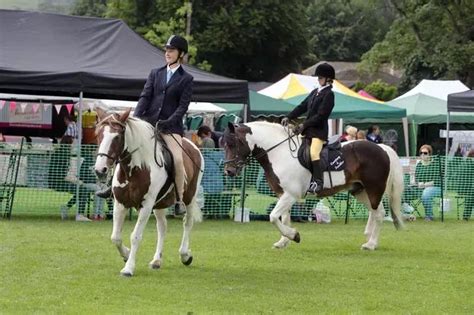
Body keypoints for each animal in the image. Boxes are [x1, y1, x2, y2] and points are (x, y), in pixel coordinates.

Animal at [93, 108, 203, 276]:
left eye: (117, 137)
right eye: (98, 134)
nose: (100, 170)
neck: (136, 169)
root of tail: (193, 145)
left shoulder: (146, 205)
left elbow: (135, 236)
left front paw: (128, 268)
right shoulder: (120, 203)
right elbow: (115, 237)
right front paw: (126, 254)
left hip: (189, 196)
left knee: (187, 222)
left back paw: (185, 255)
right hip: (160, 204)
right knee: (162, 227)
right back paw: (157, 260)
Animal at [223, 122, 404, 251]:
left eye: (235, 143)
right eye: (224, 145)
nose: (229, 171)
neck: (279, 153)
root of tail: (382, 148)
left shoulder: (290, 195)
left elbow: (273, 217)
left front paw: (294, 236)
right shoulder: (282, 194)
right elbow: (284, 218)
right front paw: (283, 242)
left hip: (374, 189)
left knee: (379, 214)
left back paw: (371, 244)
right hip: (360, 191)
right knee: (375, 212)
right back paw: (368, 239)